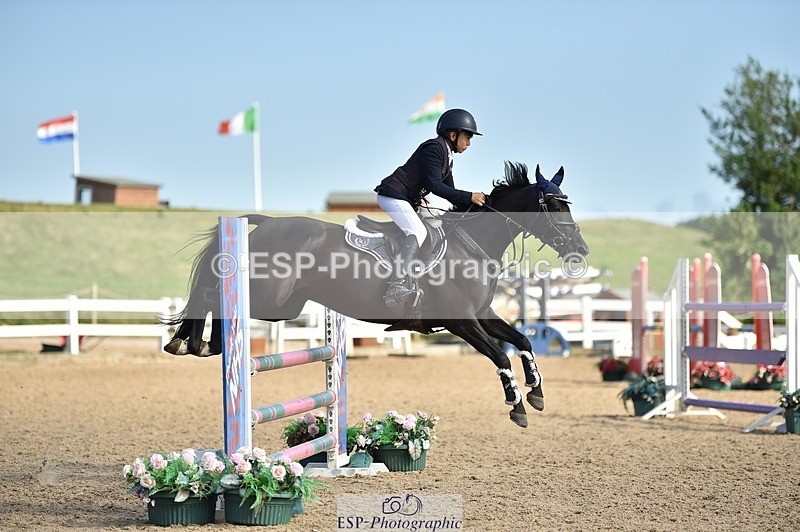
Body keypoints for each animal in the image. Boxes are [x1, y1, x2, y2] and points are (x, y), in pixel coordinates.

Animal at [163, 162, 589, 428]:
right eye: (552, 205)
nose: (580, 250)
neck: (472, 246)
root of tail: (267, 224)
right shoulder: (460, 320)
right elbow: (500, 355)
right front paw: (517, 406)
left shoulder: (482, 314)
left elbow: (523, 341)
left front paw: (536, 393)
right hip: (271, 297)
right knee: (212, 292)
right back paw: (189, 342)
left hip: (283, 305)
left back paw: (209, 344)